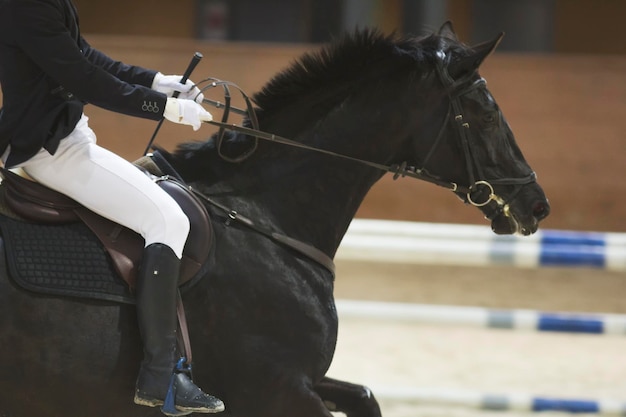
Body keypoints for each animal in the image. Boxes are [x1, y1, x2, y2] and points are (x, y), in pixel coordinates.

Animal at [0, 23, 544, 416]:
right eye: (487, 112)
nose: (537, 205)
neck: (261, 217)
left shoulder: (302, 381)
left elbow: (365, 395)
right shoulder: (278, 389)